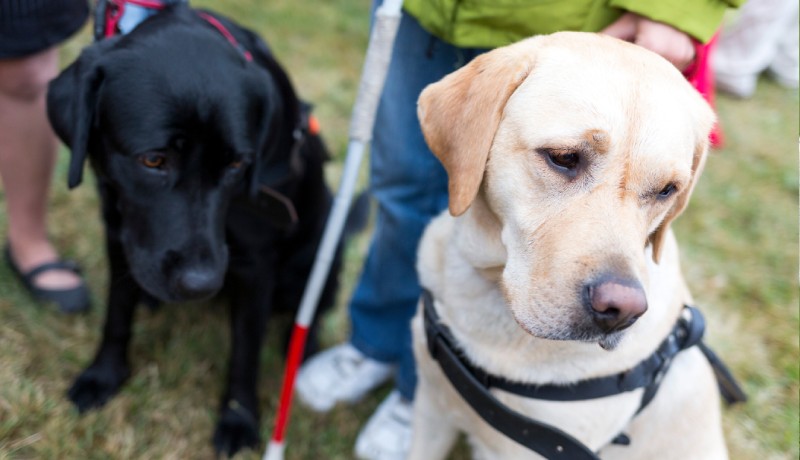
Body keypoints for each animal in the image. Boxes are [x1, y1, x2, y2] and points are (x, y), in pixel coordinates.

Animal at [45, 4, 342, 456]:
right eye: (153, 160)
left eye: (237, 164)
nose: (200, 285)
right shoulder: (120, 232)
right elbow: (117, 313)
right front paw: (104, 375)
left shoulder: (257, 263)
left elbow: (246, 350)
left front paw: (238, 419)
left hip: (323, 245)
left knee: (312, 310)